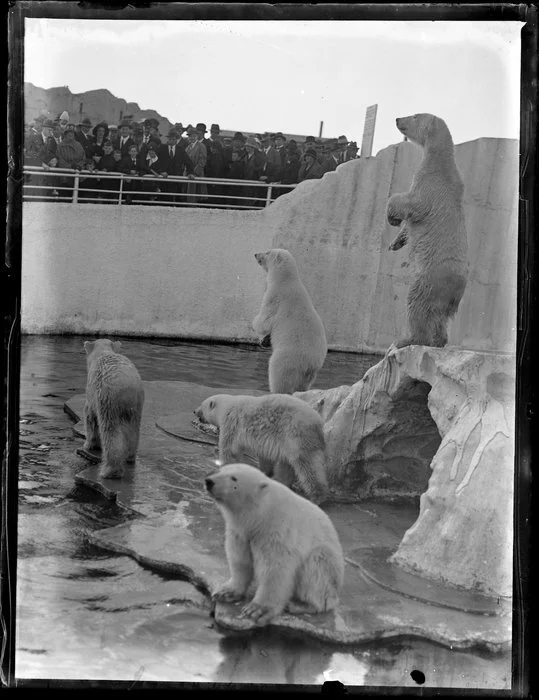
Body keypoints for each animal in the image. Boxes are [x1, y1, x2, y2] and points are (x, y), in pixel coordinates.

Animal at [83, 340, 144, 482]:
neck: (102, 353)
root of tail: (128, 386)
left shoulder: (92, 393)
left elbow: (90, 417)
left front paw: (89, 444)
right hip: (137, 405)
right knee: (133, 432)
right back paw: (129, 457)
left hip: (109, 400)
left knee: (110, 432)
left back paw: (109, 471)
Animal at [194, 394, 330, 504]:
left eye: (201, 405)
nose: (194, 411)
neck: (227, 406)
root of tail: (319, 423)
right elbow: (265, 457)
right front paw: (264, 472)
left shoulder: (232, 424)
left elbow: (230, 450)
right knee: (287, 464)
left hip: (297, 436)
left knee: (307, 466)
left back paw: (316, 496)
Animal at [205, 464, 344, 624]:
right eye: (219, 470)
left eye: (234, 478)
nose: (209, 481)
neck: (261, 514)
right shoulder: (240, 532)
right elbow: (240, 560)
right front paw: (225, 592)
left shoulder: (276, 531)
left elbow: (275, 569)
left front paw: (257, 609)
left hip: (330, 571)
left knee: (317, 565)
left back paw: (300, 604)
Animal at [252, 250, 326, 394]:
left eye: (267, 252)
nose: (256, 254)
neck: (286, 280)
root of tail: (310, 364)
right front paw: (264, 340)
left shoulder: (275, 296)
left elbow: (265, 319)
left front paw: (255, 326)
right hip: (309, 373)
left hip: (288, 358)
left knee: (277, 372)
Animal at [386, 113, 470, 350]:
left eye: (414, 115)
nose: (397, 118)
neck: (441, 159)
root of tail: (456, 290)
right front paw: (395, 242)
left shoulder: (431, 183)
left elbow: (412, 204)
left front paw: (392, 217)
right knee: (439, 317)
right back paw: (438, 340)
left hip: (429, 279)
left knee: (416, 304)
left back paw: (407, 340)